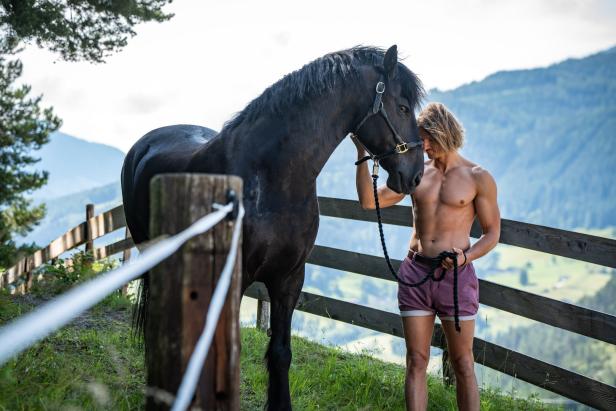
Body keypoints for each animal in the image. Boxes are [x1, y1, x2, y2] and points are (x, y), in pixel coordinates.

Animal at [122, 45, 426, 411]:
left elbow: (281, 352)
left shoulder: (289, 277)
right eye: (403, 107)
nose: (416, 175)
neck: (271, 178)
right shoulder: (235, 278)